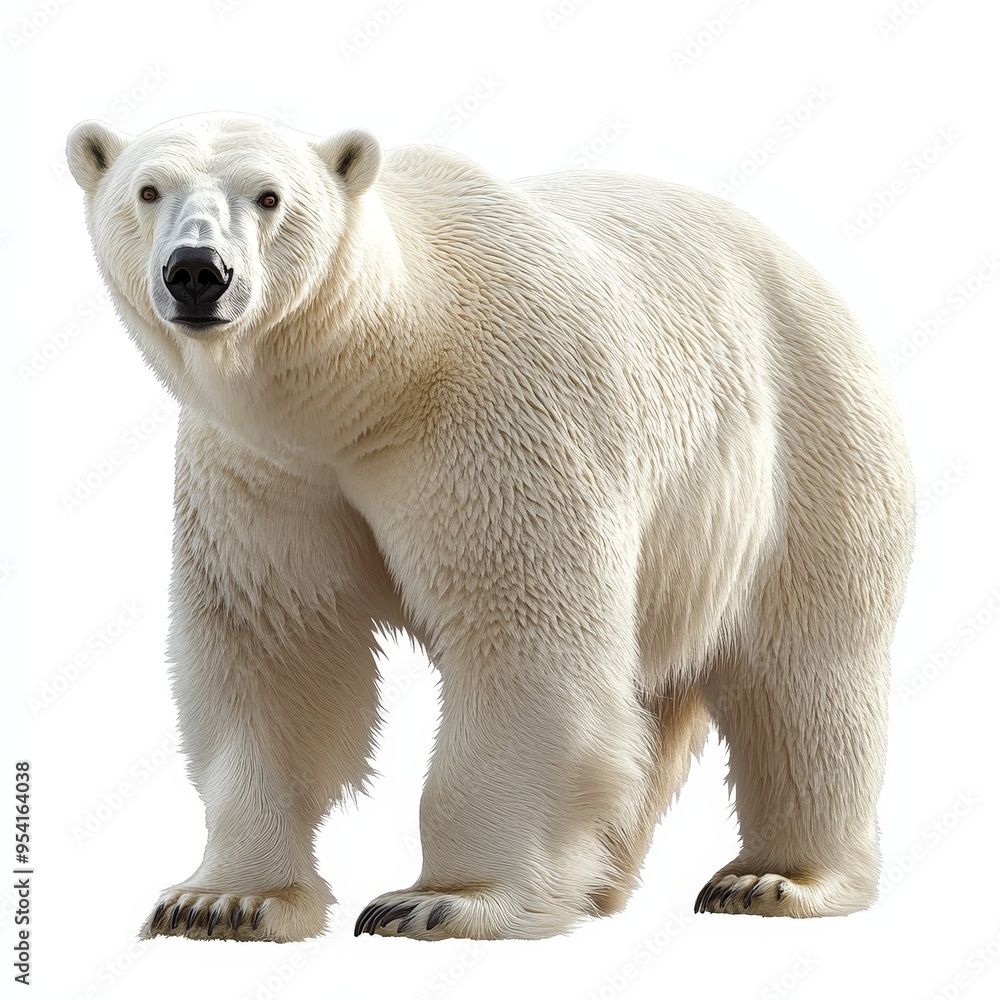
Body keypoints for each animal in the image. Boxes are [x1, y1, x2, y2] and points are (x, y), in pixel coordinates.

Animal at [66, 113, 914, 943]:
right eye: (148, 189)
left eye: (269, 196)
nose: (197, 271)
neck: (373, 378)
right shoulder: (264, 471)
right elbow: (274, 648)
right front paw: (222, 901)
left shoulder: (497, 419)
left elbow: (523, 638)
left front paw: (443, 902)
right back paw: (602, 880)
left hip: (807, 444)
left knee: (804, 675)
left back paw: (772, 879)